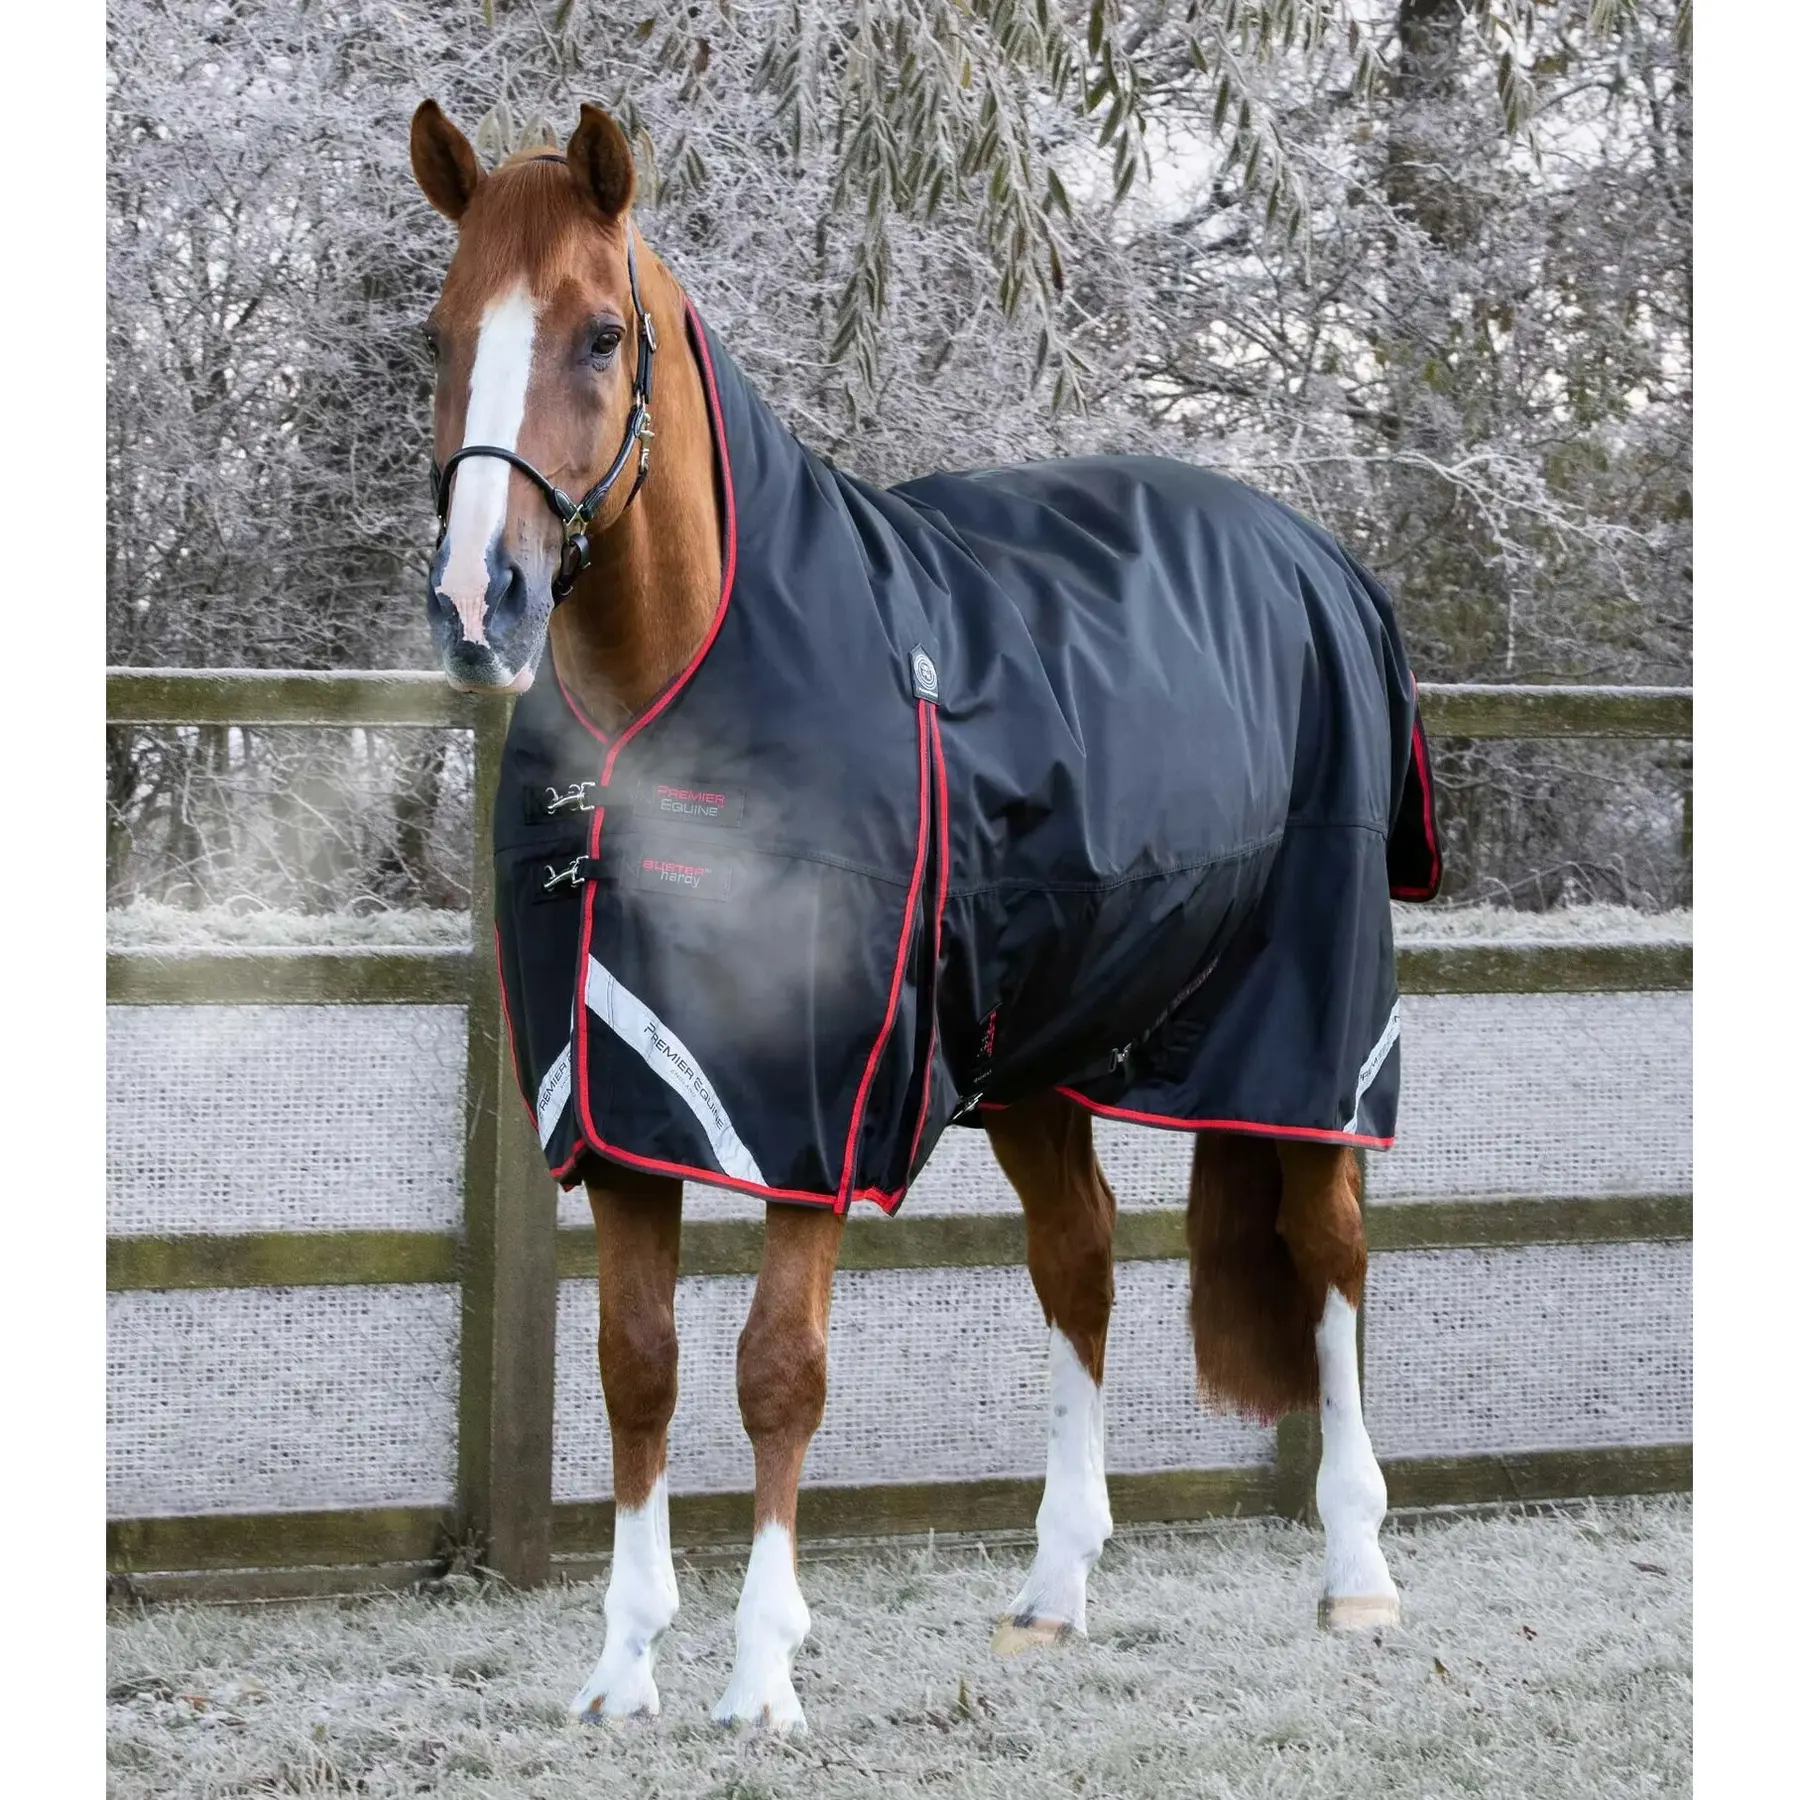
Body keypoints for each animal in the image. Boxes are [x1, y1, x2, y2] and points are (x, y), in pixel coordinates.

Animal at [410, 98, 1431, 1733]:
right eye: (443, 332)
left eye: (598, 336)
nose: (476, 604)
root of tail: (1316, 555)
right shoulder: (622, 1112)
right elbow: (639, 1368)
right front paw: (623, 1667)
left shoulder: (820, 1120)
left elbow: (777, 1370)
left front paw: (761, 1673)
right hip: (1038, 1060)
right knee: (1081, 1261)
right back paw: (1054, 1594)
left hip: (1309, 1042)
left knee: (1330, 1258)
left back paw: (1357, 1575)